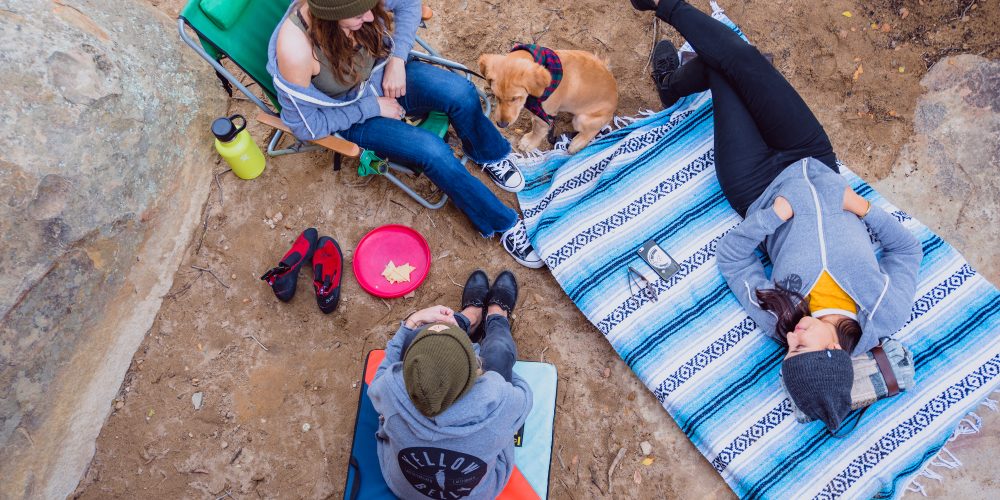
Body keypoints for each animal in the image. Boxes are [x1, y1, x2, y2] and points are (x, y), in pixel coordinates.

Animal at [478, 49, 616, 155]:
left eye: (515, 98)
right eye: (496, 96)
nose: (501, 124)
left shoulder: (545, 115)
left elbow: (537, 131)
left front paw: (529, 143)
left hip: (581, 119)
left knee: (593, 130)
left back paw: (577, 143)